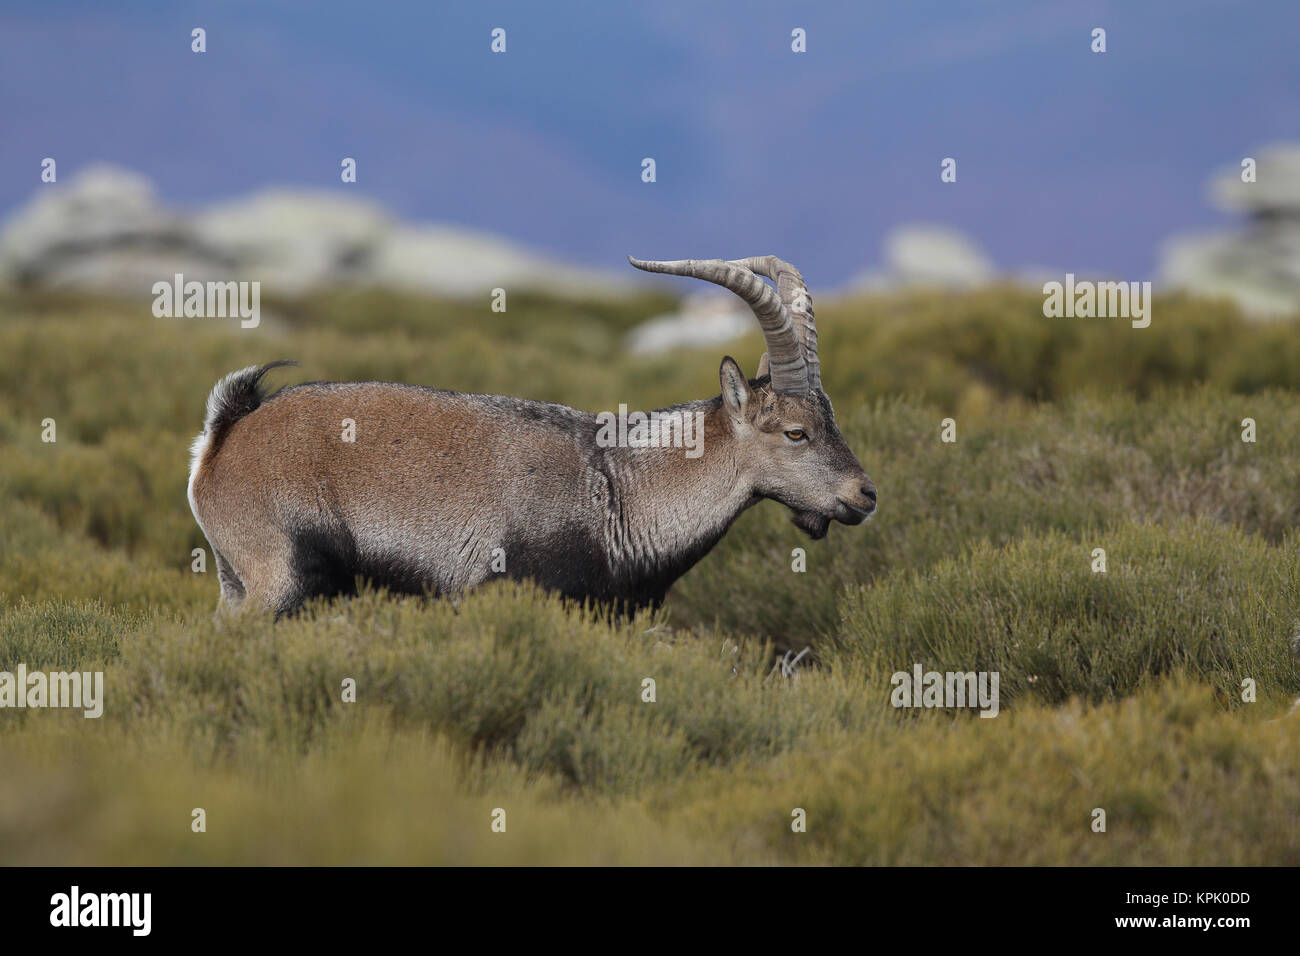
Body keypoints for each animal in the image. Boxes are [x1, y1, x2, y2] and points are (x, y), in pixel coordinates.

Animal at [185, 254, 873, 616]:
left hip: (237, 581)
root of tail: (225, 434)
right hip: (281, 576)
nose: (864, 495)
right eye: (795, 432)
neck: (622, 495)